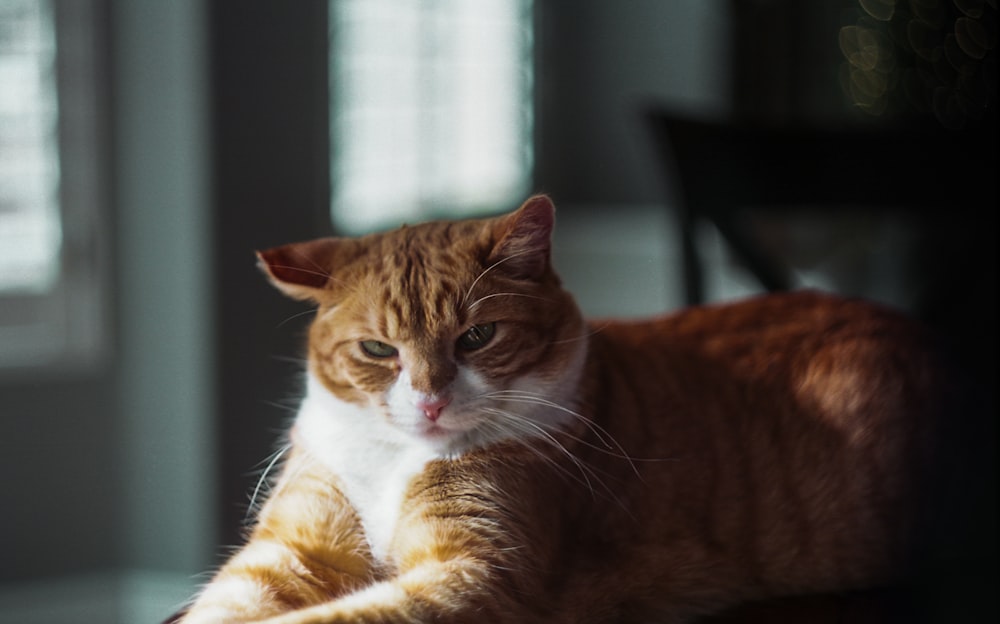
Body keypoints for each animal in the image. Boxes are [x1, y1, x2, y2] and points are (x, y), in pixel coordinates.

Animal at [176, 196, 948, 624]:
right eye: (376, 349)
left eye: (477, 337)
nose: (430, 401)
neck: (398, 461)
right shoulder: (288, 549)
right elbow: (225, 605)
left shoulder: (480, 576)